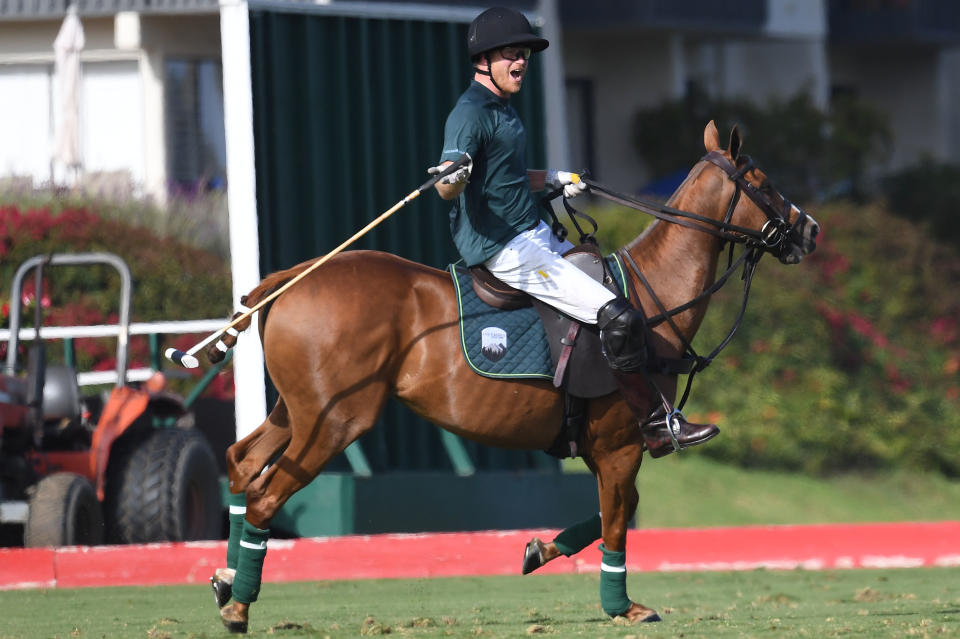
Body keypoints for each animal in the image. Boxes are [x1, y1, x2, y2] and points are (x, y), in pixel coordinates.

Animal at [210, 122, 816, 632]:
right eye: (763, 182)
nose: (810, 230)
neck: (654, 297)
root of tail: (291, 277)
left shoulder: (601, 445)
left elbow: (613, 510)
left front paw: (539, 550)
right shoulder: (621, 443)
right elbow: (619, 518)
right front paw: (623, 607)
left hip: (299, 409)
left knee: (241, 462)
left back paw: (224, 580)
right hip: (337, 419)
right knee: (264, 494)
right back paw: (239, 606)